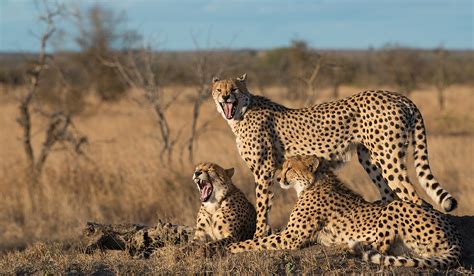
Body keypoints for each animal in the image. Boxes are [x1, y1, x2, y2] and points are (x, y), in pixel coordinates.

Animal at [213, 73, 458, 237]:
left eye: (234, 89)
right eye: (218, 89)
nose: (225, 98)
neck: (241, 113)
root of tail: (397, 96)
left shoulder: (263, 170)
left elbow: (263, 204)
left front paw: (258, 235)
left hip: (388, 156)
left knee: (414, 197)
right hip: (368, 156)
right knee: (391, 194)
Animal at [228, 156, 462, 268]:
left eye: (290, 168)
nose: (277, 178)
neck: (312, 183)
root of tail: (453, 233)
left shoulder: (292, 236)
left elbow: (257, 242)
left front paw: (232, 247)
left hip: (394, 207)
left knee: (380, 247)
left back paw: (346, 244)